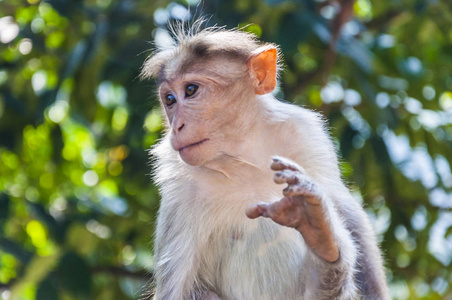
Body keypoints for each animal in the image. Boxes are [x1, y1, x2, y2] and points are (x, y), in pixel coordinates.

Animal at [140, 23, 388, 300]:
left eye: (191, 90)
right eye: (170, 100)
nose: (176, 127)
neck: (241, 158)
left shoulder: (305, 135)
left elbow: (346, 210)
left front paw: (319, 225)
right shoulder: (179, 187)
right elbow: (178, 290)